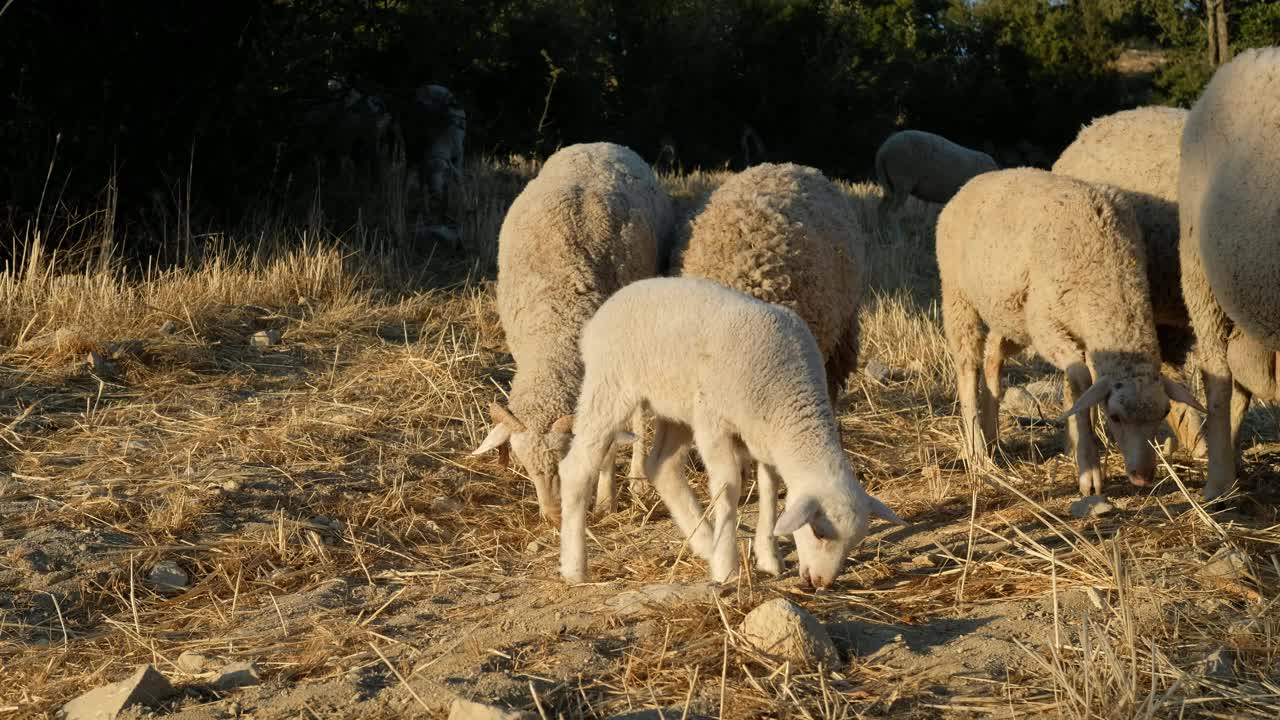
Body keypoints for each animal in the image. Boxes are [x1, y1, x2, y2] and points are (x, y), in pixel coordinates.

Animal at [468, 141, 670, 520]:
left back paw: (638, 478)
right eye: (524, 465)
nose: (553, 516)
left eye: (564, 458)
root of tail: (600, 143)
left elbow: (608, 446)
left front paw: (606, 499)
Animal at [555, 274, 906, 584]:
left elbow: (769, 488)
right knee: (577, 467)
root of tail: (605, 311)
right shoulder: (715, 425)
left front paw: (768, 556)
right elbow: (728, 488)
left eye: (854, 542)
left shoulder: (762, 435)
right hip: (610, 385)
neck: (788, 397)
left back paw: (703, 542)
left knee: (662, 466)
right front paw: (727, 568)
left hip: (677, 405)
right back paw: (575, 569)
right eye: (819, 531)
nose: (821, 582)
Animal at [936, 166, 1203, 491]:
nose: (1142, 477)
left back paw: (992, 438)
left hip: (1010, 314)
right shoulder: (1047, 326)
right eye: (1114, 416)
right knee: (967, 367)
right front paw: (1088, 467)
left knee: (993, 357)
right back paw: (977, 451)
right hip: (958, 296)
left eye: (1163, 413)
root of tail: (974, 181)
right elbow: (1080, 378)